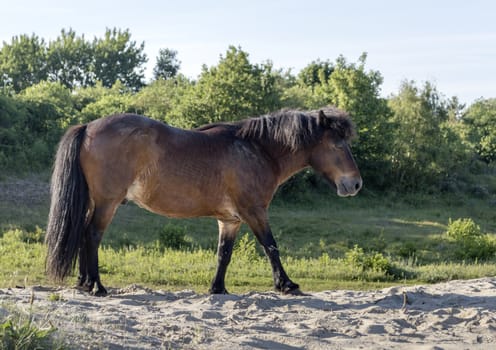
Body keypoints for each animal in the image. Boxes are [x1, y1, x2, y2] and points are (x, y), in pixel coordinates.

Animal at [45, 107, 360, 296]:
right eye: (338, 144)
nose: (355, 184)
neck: (257, 149)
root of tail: (88, 126)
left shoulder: (230, 220)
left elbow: (224, 254)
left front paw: (217, 288)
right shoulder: (254, 211)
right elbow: (271, 246)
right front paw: (286, 284)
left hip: (94, 202)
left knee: (84, 234)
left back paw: (85, 282)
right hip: (107, 202)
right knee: (92, 235)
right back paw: (97, 286)